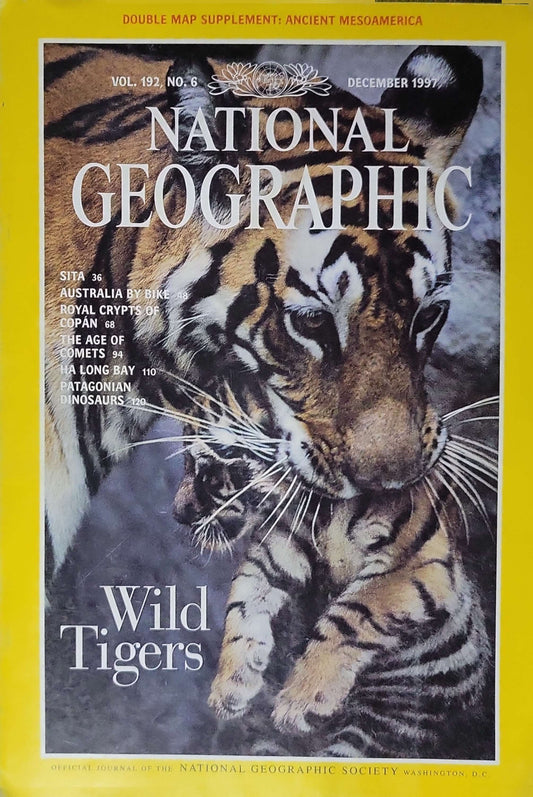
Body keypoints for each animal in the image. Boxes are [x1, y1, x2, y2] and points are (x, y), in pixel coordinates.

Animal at [172, 380, 492, 759]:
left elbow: (350, 613)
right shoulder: (277, 551)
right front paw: (232, 686)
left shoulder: (412, 560)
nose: (178, 514)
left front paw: (299, 701)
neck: (323, 501)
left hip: (382, 727)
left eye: (209, 473)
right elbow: (243, 604)